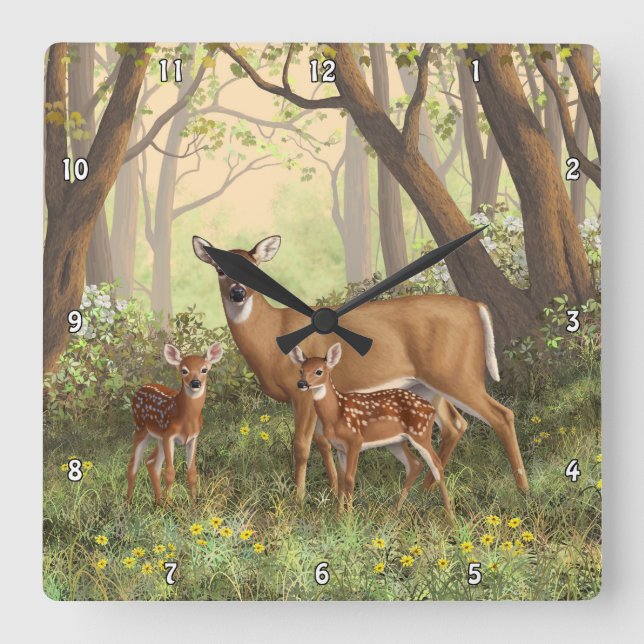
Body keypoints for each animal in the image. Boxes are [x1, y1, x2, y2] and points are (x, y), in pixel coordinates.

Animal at [126, 342, 223, 505]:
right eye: (184, 370)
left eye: (204, 369)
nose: (195, 383)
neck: (186, 419)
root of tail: (140, 388)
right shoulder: (169, 436)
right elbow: (170, 472)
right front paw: (170, 504)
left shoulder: (193, 438)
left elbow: (192, 472)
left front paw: (193, 503)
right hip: (140, 428)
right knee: (134, 464)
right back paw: (128, 504)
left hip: (158, 437)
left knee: (151, 462)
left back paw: (158, 502)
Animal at [289, 343, 453, 517]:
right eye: (301, 370)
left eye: (319, 371)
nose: (301, 384)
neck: (337, 413)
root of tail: (431, 408)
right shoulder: (340, 448)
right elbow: (341, 480)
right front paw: (338, 515)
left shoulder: (355, 441)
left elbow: (350, 479)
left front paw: (349, 517)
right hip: (395, 442)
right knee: (415, 464)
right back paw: (394, 511)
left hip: (420, 433)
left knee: (437, 466)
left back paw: (450, 517)